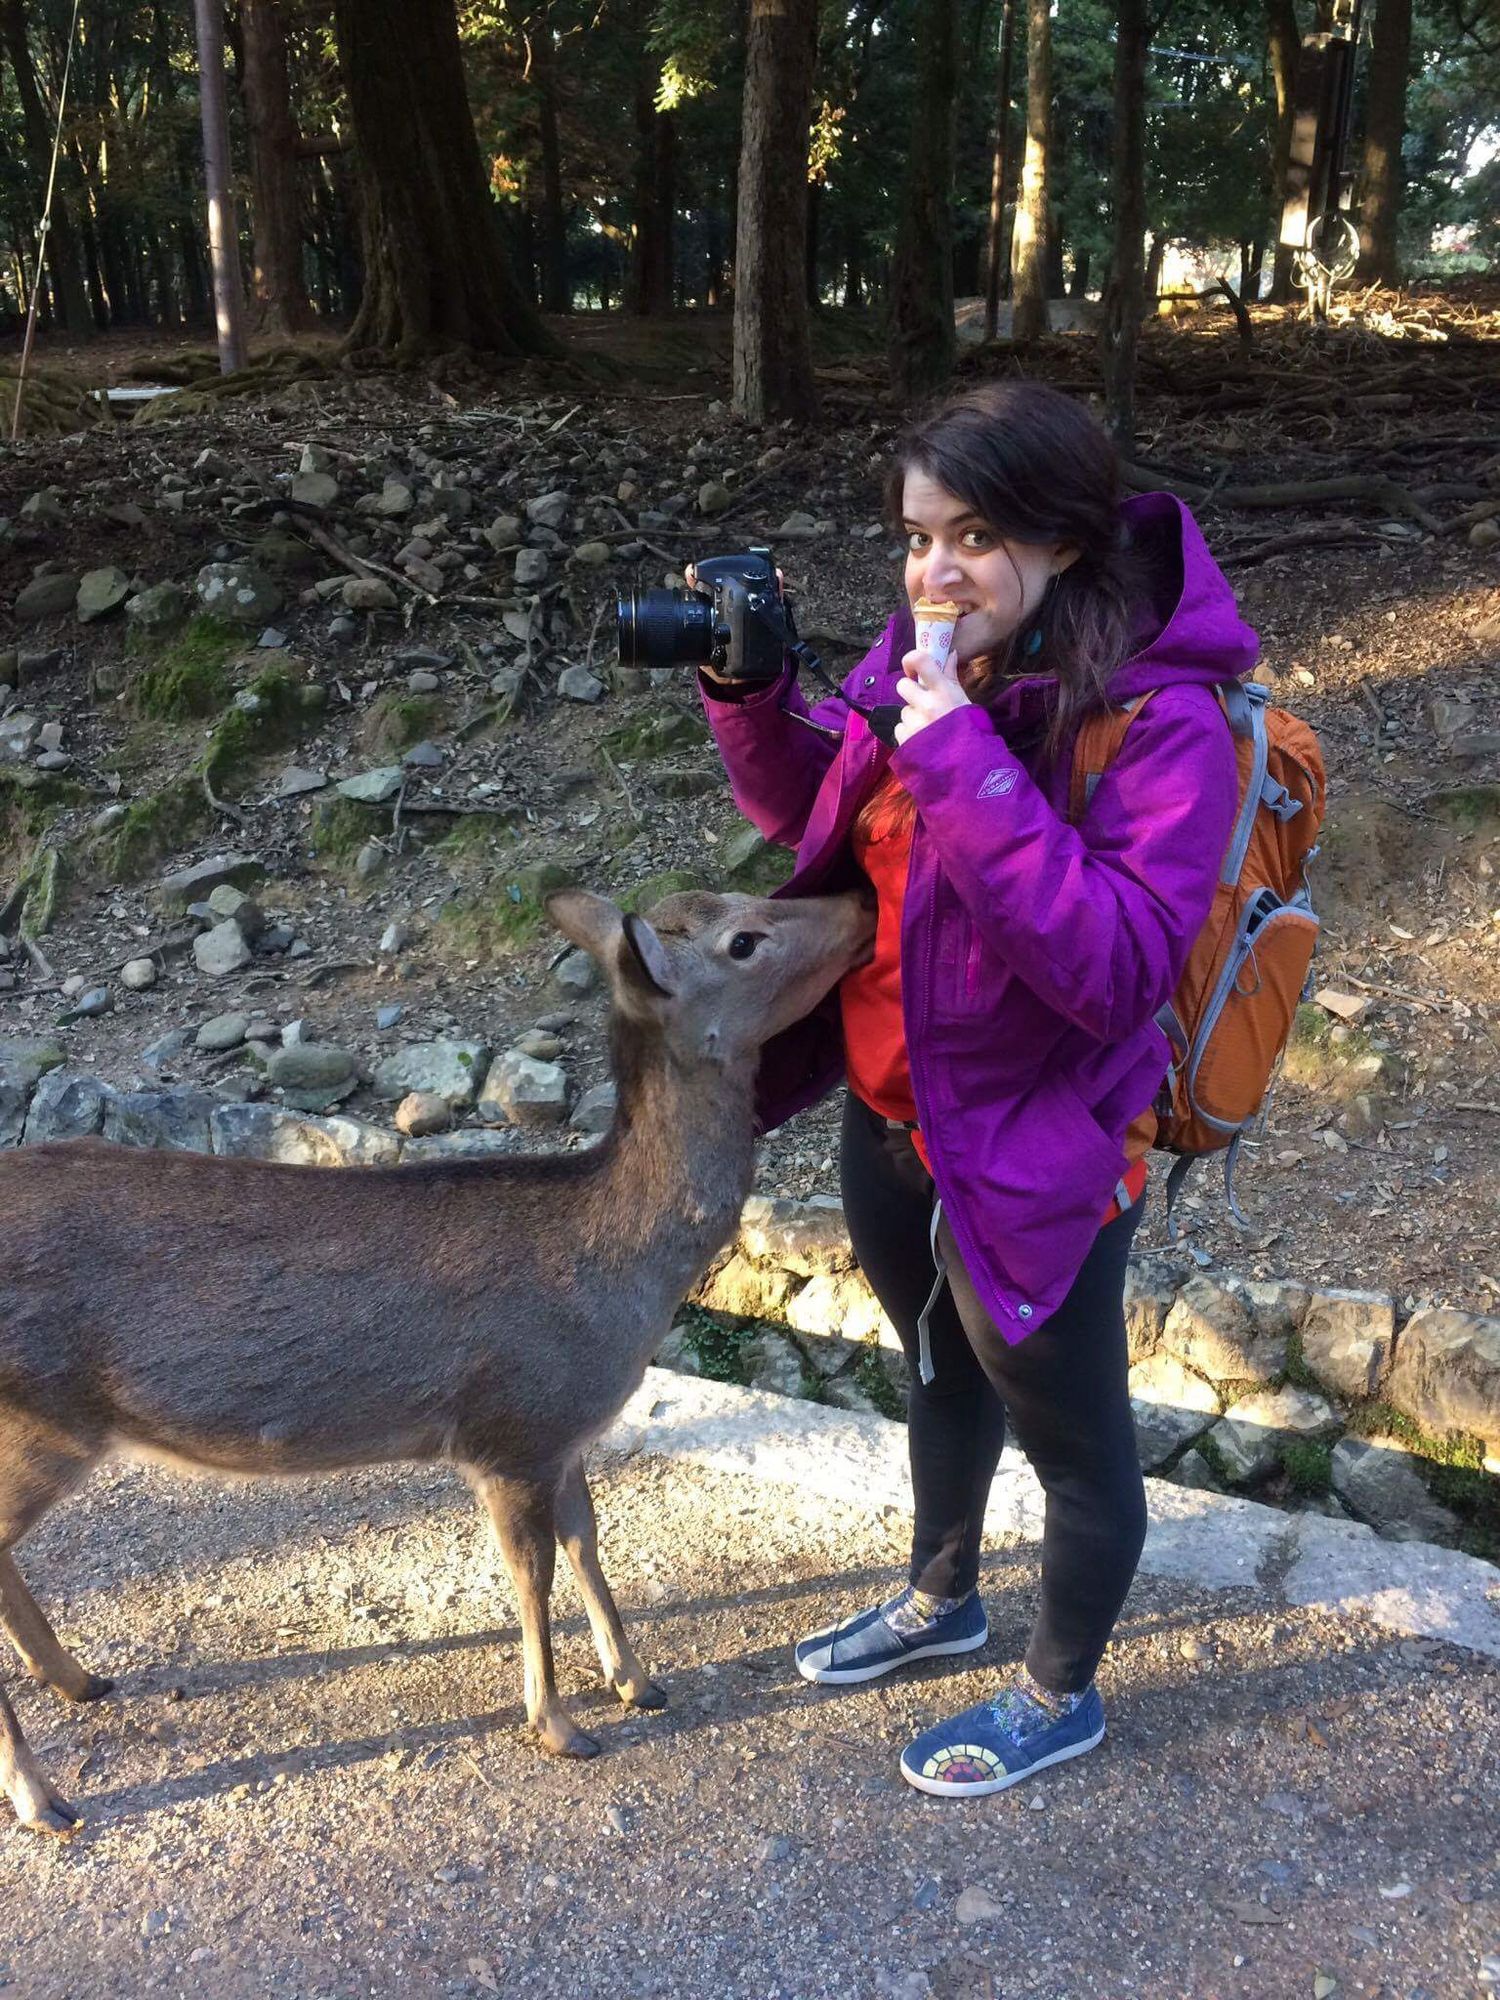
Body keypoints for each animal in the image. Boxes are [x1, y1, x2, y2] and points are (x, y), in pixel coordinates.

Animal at [0, 884, 873, 1838]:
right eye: (744, 940)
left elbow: (587, 1543)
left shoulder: (564, 1431)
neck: (621, 1286)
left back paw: (76, 1679)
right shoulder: (509, 1429)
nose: (861, 898)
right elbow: (531, 1576)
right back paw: (43, 1798)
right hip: (40, 1421)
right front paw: (559, 1725)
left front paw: (637, 1682)